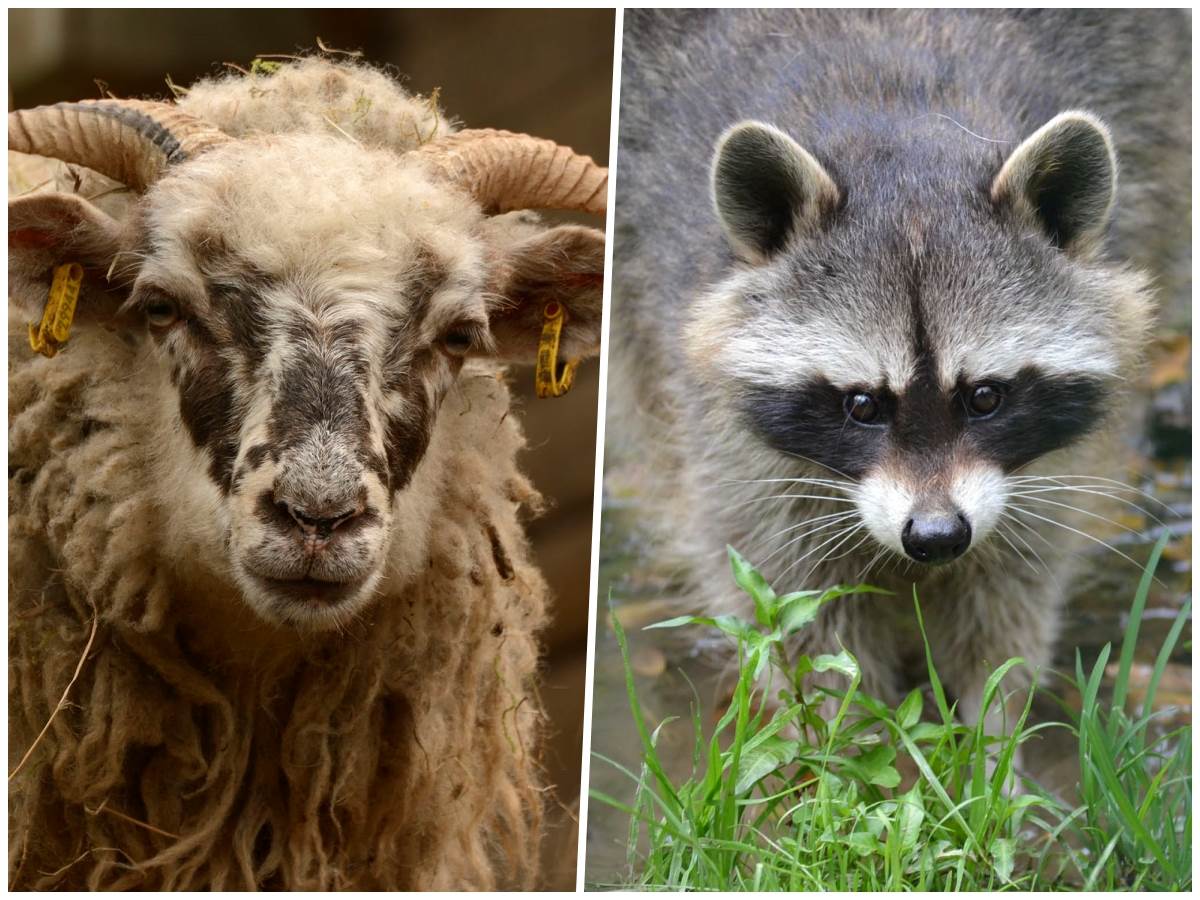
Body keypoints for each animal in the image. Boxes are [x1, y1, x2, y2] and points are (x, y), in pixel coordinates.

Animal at [609, 10, 1190, 729]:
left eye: (985, 397)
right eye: (863, 404)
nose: (937, 536)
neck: (899, 123)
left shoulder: (1042, 460)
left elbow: (1015, 571)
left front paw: (992, 725)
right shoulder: (707, 395)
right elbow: (788, 589)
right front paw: (845, 738)